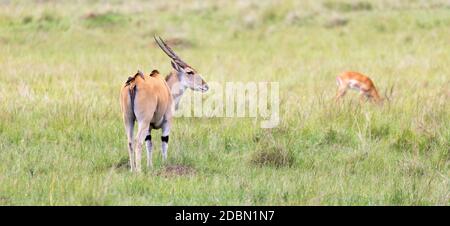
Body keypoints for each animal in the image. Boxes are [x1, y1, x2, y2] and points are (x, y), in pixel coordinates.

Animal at [120, 36, 210, 172]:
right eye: (190, 72)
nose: (205, 86)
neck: (166, 87)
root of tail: (135, 82)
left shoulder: (149, 128)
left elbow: (149, 144)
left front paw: (150, 166)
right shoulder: (167, 122)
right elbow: (164, 142)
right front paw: (164, 164)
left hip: (128, 119)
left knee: (130, 141)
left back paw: (132, 170)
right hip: (142, 121)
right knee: (138, 141)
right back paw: (138, 171)